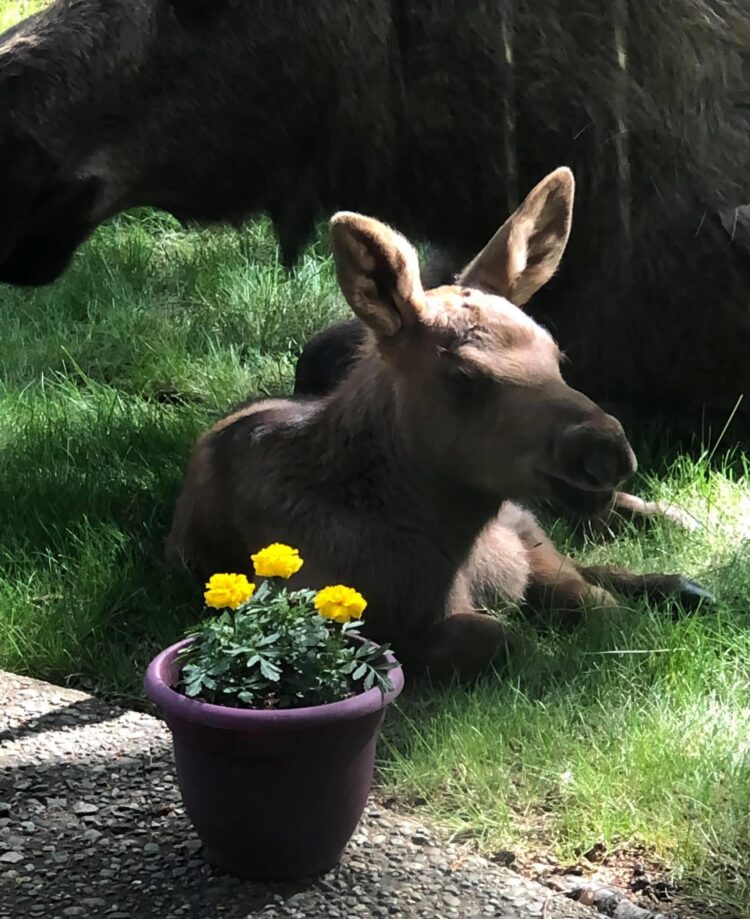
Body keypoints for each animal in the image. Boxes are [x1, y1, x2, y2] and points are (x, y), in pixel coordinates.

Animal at [167, 169, 712, 680]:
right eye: (464, 376)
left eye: (556, 355)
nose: (609, 450)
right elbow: (507, 637)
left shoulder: (528, 545)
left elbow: (597, 607)